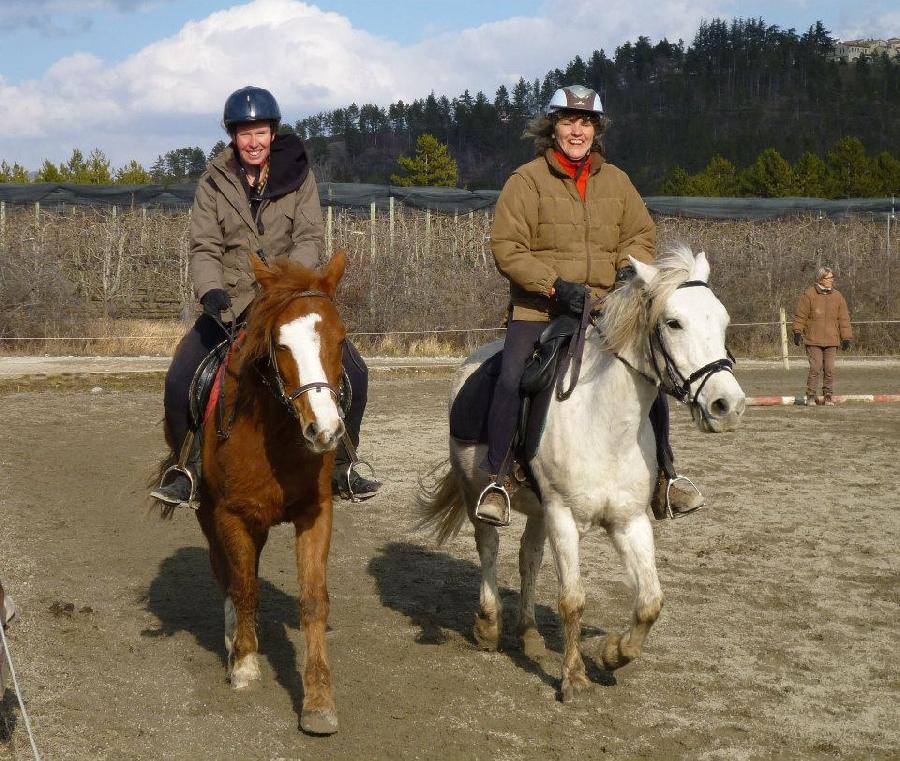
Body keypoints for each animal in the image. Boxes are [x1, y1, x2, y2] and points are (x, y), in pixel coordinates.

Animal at [170, 252, 348, 732]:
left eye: (341, 340)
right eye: (280, 344)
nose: (324, 431)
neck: (278, 434)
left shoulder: (315, 513)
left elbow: (313, 600)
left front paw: (319, 700)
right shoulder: (230, 514)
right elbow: (244, 585)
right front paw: (246, 663)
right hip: (209, 513)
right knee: (228, 575)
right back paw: (235, 640)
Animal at [416, 243, 744, 700]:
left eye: (724, 320)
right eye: (673, 322)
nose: (727, 405)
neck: (606, 424)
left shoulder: (628, 520)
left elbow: (650, 601)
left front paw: (613, 655)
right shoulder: (565, 517)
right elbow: (572, 599)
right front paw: (573, 677)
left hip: (538, 509)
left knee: (529, 558)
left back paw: (529, 633)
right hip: (477, 492)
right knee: (489, 549)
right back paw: (488, 626)